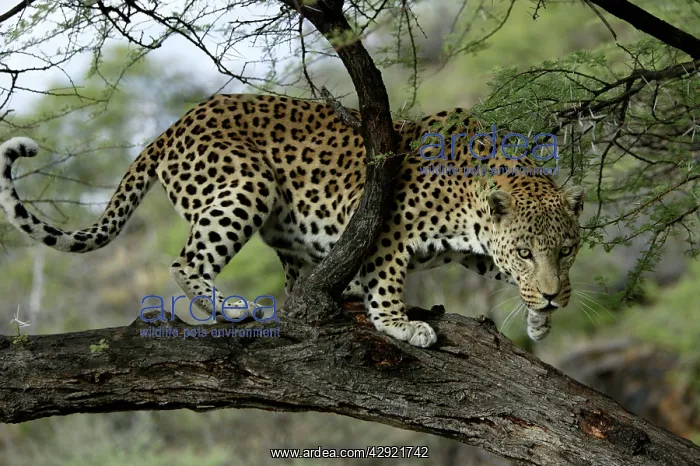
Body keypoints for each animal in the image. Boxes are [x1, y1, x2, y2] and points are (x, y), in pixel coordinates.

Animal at [0, 93, 585, 348]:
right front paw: (401, 325)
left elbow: (499, 274)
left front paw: (542, 316)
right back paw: (230, 308)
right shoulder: (383, 226)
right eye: (526, 250)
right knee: (185, 262)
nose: (554, 295)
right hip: (245, 185)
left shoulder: (477, 246)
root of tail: (170, 128)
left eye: (566, 250)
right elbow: (387, 280)